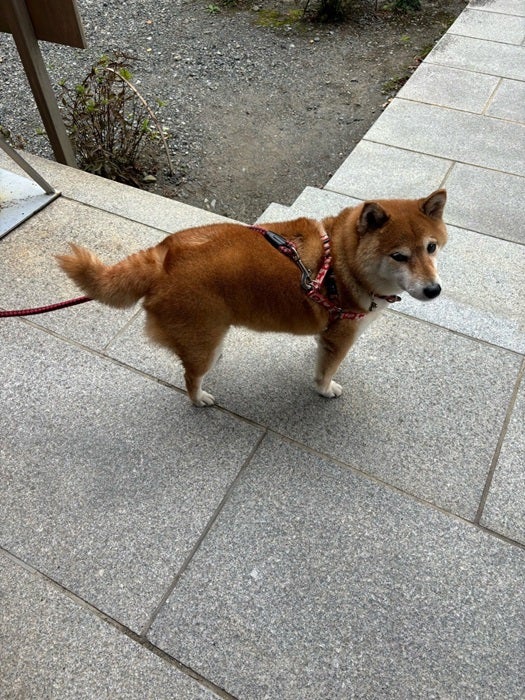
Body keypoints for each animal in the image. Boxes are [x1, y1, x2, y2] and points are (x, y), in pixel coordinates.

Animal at [57, 190, 446, 404]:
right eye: (399, 256)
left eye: (431, 248)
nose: (434, 290)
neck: (341, 259)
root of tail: (164, 256)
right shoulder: (342, 337)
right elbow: (326, 372)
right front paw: (324, 389)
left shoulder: (329, 334)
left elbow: (319, 356)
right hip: (200, 338)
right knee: (190, 377)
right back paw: (200, 398)